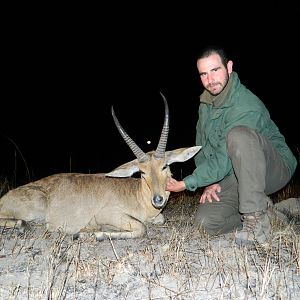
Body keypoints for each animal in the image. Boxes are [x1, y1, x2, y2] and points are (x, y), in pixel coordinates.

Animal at [0, 95, 202, 240]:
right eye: (142, 172)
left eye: (164, 166)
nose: (158, 199)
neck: (137, 195)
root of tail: (5, 197)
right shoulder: (110, 215)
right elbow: (142, 228)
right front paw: (92, 233)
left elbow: (158, 220)